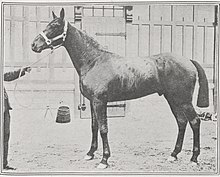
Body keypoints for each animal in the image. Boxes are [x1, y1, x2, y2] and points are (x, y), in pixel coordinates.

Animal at [30, 8, 208, 169]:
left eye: (54, 26)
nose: (33, 45)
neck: (93, 61)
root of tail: (188, 60)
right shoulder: (92, 103)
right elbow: (94, 127)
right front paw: (90, 153)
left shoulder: (100, 102)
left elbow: (103, 129)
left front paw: (104, 160)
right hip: (173, 99)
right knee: (181, 122)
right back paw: (173, 154)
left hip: (183, 101)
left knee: (195, 121)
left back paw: (194, 158)